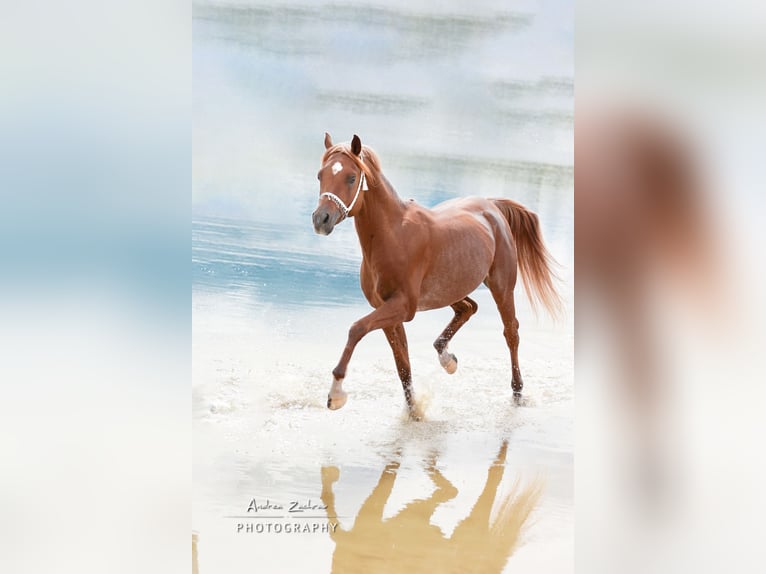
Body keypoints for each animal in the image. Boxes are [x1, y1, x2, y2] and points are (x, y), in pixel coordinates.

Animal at [311, 133, 561, 419]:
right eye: (320, 175)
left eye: (351, 177)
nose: (321, 219)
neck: (393, 235)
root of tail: (491, 205)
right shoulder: (387, 312)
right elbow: (402, 365)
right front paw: (414, 412)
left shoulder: (402, 307)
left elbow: (356, 329)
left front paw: (336, 394)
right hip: (450, 289)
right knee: (468, 308)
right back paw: (447, 359)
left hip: (501, 287)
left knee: (511, 333)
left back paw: (518, 393)